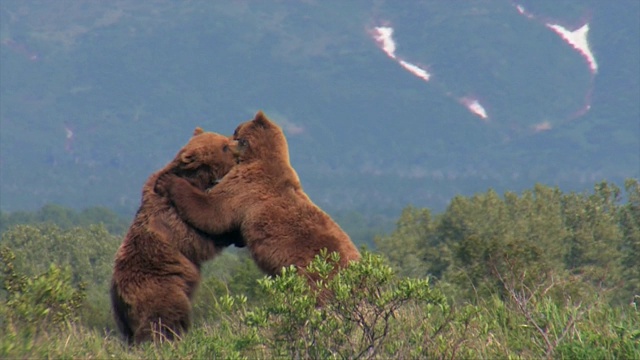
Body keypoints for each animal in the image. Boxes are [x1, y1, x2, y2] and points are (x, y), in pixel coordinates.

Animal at [110, 126, 242, 344]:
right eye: (224, 147)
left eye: (226, 139)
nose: (239, 145)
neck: (197, 180)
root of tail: (123, 297)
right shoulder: (172, 217)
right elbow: (200, 237)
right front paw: (234, 234)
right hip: (162, 288)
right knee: (164, 317)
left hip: (120, 313)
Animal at [156, 111, 360, 288]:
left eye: (235, 131)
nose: (229, 137)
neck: (258, 157)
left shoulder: (245, 186)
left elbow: (212, 212)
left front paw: (168, 181)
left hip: (316, 275)